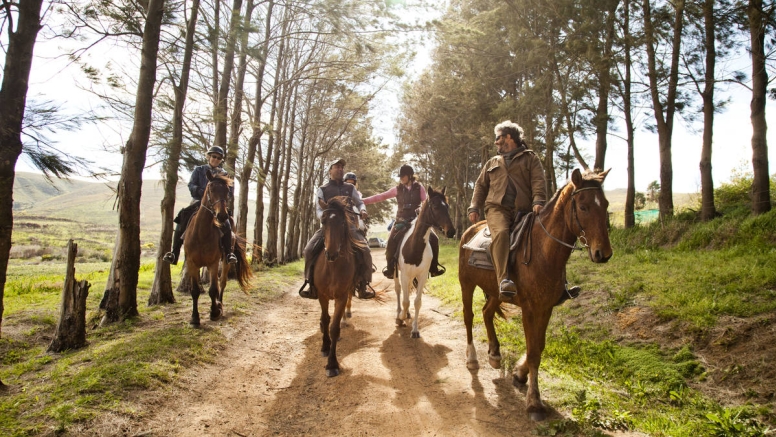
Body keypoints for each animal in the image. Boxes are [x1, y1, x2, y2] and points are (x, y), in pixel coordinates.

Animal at [182, 170, 252, 328]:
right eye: (211, 189)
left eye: (227, 192)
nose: (222, 215)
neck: (201, 233)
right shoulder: (192, 263)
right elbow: (195, 291)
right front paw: (194, 318)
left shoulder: (213, 263)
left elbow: (213, 289)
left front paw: (214, 312)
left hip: (225, 260)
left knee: (222, 283)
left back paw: (219, 305)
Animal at [312, 196, 366, 376]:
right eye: (323, 221)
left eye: (342, 222)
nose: (331, 253)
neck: (333, 268)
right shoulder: (322, 295)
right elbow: (325, 318)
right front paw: (325, 346)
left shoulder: (341, 296)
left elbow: (334, 327)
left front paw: (332, 364)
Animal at [394, 186, 454, 338]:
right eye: (435, 206)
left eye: (447, 206)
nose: (451, 231)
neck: (414, 247)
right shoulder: (404, 275)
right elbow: (405, 300)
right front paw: (401, 318)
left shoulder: (422, 276)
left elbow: (417, 302)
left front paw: (415, 330)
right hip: (396, 273)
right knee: (398, 290)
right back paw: (399, 314)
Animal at [460, 167, 612, 418]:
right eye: (583, 207)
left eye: (606, 204)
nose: (604, 253)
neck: (544, 252)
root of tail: (470, 230)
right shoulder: (530, 310)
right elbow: (532, 352)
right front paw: (533, 401)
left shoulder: (546, 307)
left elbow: (539, 347)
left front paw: (520, 374)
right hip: (467, 284)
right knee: (469, 316)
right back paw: (472, 358)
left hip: (496, 291)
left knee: (487, 313)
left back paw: (494, 354)